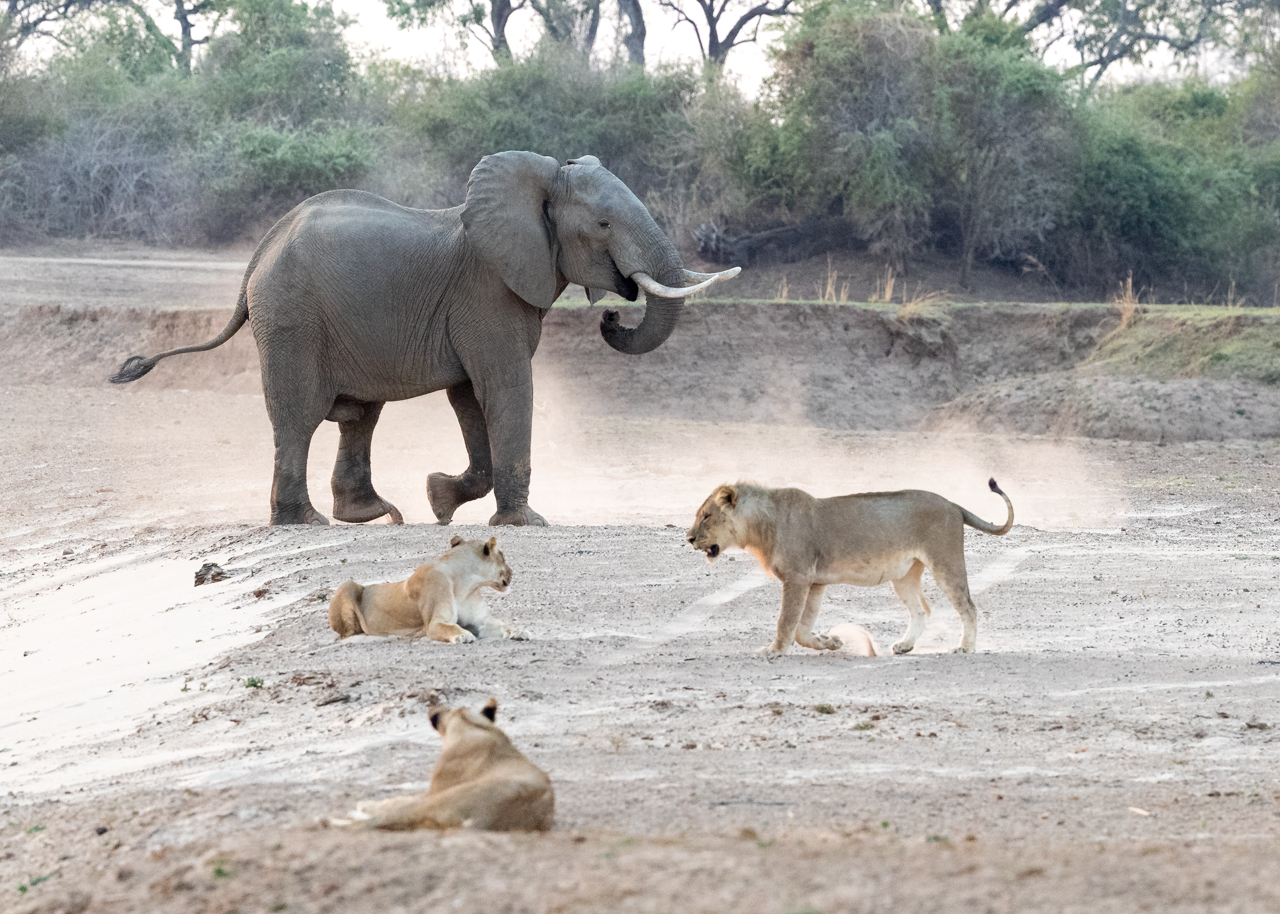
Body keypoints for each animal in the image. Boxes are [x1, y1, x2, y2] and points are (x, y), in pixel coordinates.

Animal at [110, 151, 740, 526]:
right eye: (604, 225)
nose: (611, 317)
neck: (534, 185)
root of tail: (259, 252)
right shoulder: (487, 293)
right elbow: (506, 388)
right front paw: (526, 524)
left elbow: (470, 398)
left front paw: (440, 500)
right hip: (290, 319)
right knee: (300, 416)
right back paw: (304, 522)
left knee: (359, 416)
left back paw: (373, 515)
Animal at [328, 536, 524, 643]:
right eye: (503, 558)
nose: (512, 572)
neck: (466, 585)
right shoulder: (434, 623)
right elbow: (449, 627)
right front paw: (462, 635)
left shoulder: (481, 621)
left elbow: (503, 625)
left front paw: (520, 631)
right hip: (347, 585)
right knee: (348, 633)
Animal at [686, 479, 1014, 657]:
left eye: (706, 516)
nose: (688, 538)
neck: (760, 527)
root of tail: (953, 504)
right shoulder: (815, 581)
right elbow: (802, 628)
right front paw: (829, 641)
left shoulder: (797, 577)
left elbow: (786, 621)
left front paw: (774, 650)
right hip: (904, 575)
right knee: (922, 610)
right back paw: (905, 646)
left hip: (945, 561)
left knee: (968, 606)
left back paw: (965, 648)